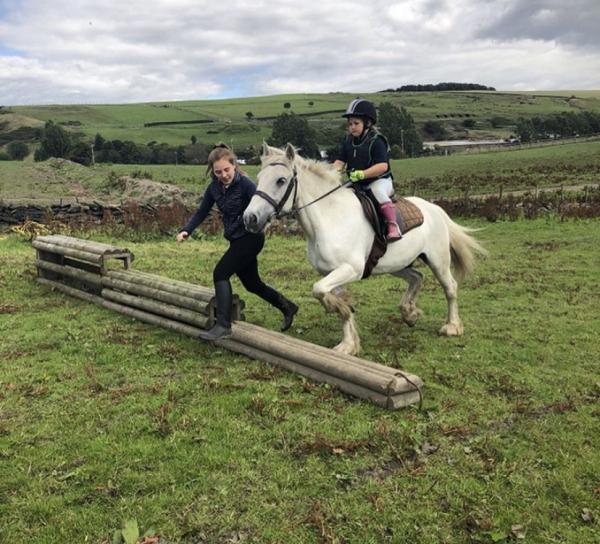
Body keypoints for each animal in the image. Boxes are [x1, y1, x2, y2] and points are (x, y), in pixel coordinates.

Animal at [241, 143, 486, 356]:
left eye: (281, 180)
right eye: (259, 179)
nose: (249, 218)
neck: (329, 218)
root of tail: (434, 209)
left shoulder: (350, 269)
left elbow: (318, 290)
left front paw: (338, 313)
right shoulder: (332, 273)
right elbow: (335, 299)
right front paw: (348, 343)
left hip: (438, 261)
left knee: (450, 288)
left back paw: (451, 327)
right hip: (396, 264)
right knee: (416, 277)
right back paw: (409, 313)